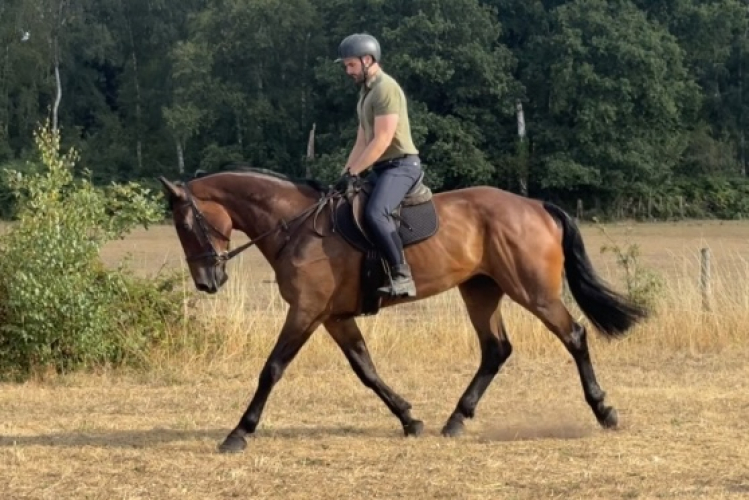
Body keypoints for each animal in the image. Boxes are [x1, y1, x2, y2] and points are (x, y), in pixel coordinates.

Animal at [157, 167, 648, 453]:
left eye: (185, 224)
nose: (206, 282)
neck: (296, 226)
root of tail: (534, 205)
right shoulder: (334, 317)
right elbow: (366, 370)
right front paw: (409, 419)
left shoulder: (306, 311)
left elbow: (272, 369)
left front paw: (239, 433)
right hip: (481, 290)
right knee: (495, 349)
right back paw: (456, 419)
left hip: (533, 291)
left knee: (574, 336)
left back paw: (604, 411)